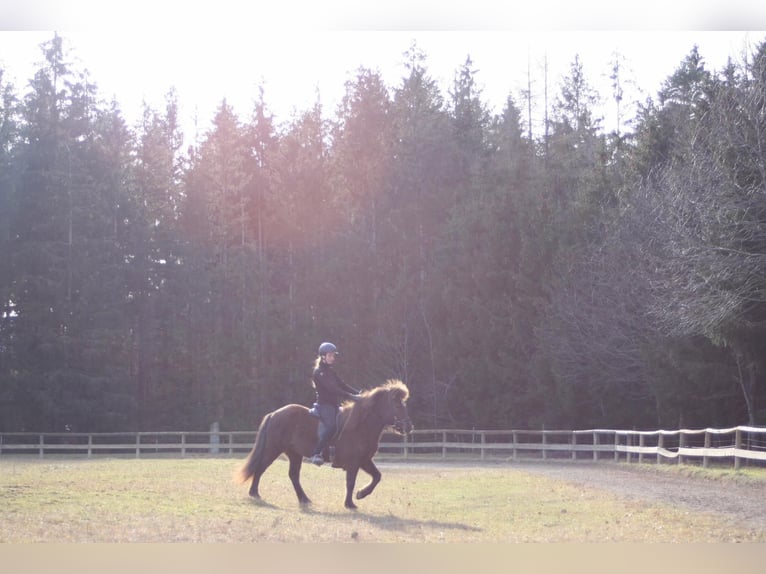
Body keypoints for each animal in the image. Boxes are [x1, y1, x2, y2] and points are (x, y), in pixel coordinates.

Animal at [240, 380, 414, 510]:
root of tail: (274, 414)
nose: (409, 427)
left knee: (293, 475)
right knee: (261, 467)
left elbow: (377, 476)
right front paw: (350, 503)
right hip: (273, 449)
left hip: (294, 454)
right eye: (397, 405)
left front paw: (360, 494)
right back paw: (254, 493)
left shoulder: (364, 461)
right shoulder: (354, 463)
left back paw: (304, 499)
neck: (360, 426)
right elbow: (350, 482)